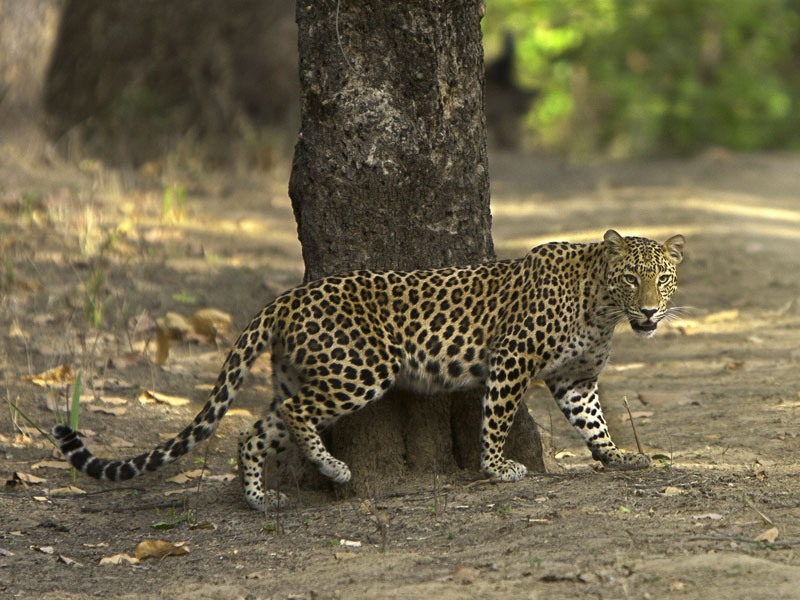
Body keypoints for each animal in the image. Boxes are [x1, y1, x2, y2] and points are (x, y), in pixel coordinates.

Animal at [53, 230, 684, 510]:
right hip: (360, 369)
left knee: (256, 430)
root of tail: (286, 298)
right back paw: (334, 469)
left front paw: (617, 457)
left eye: (663, 279)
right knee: (297, 412)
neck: (601, 308)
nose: (651, 311)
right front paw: (499, 468)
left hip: (305, 372)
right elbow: (497, 418)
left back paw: (261, 498)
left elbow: (593, 420)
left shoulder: (574, 379)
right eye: (632, 278)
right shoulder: (511, 360)